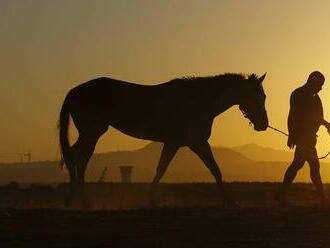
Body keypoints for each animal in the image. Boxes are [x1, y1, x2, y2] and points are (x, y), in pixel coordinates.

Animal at [58, 72, 268, 206]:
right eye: (259, 97)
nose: (264, 124)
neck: (197, 101)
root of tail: (74, 91)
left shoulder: (181, 143)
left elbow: (166, 168)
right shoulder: (193, 143)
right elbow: (211, 168)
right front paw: (230, 202)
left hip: (90, 133)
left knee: (76, 156)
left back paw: (75, 198)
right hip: (92, 132)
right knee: (78, 157)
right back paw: (78, 199)